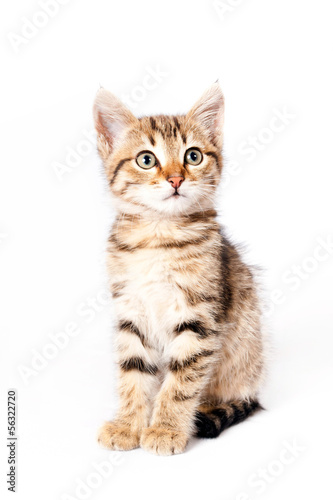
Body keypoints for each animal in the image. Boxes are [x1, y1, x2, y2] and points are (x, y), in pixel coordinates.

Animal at [92, 84, 264, 456]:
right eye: (146, 159)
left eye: (193, 156)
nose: (175, 179)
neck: (158, 237)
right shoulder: (131, 313)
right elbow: (132, 373)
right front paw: (129, 425)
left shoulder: (199, 319)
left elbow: (181, 381)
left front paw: (166, 428)